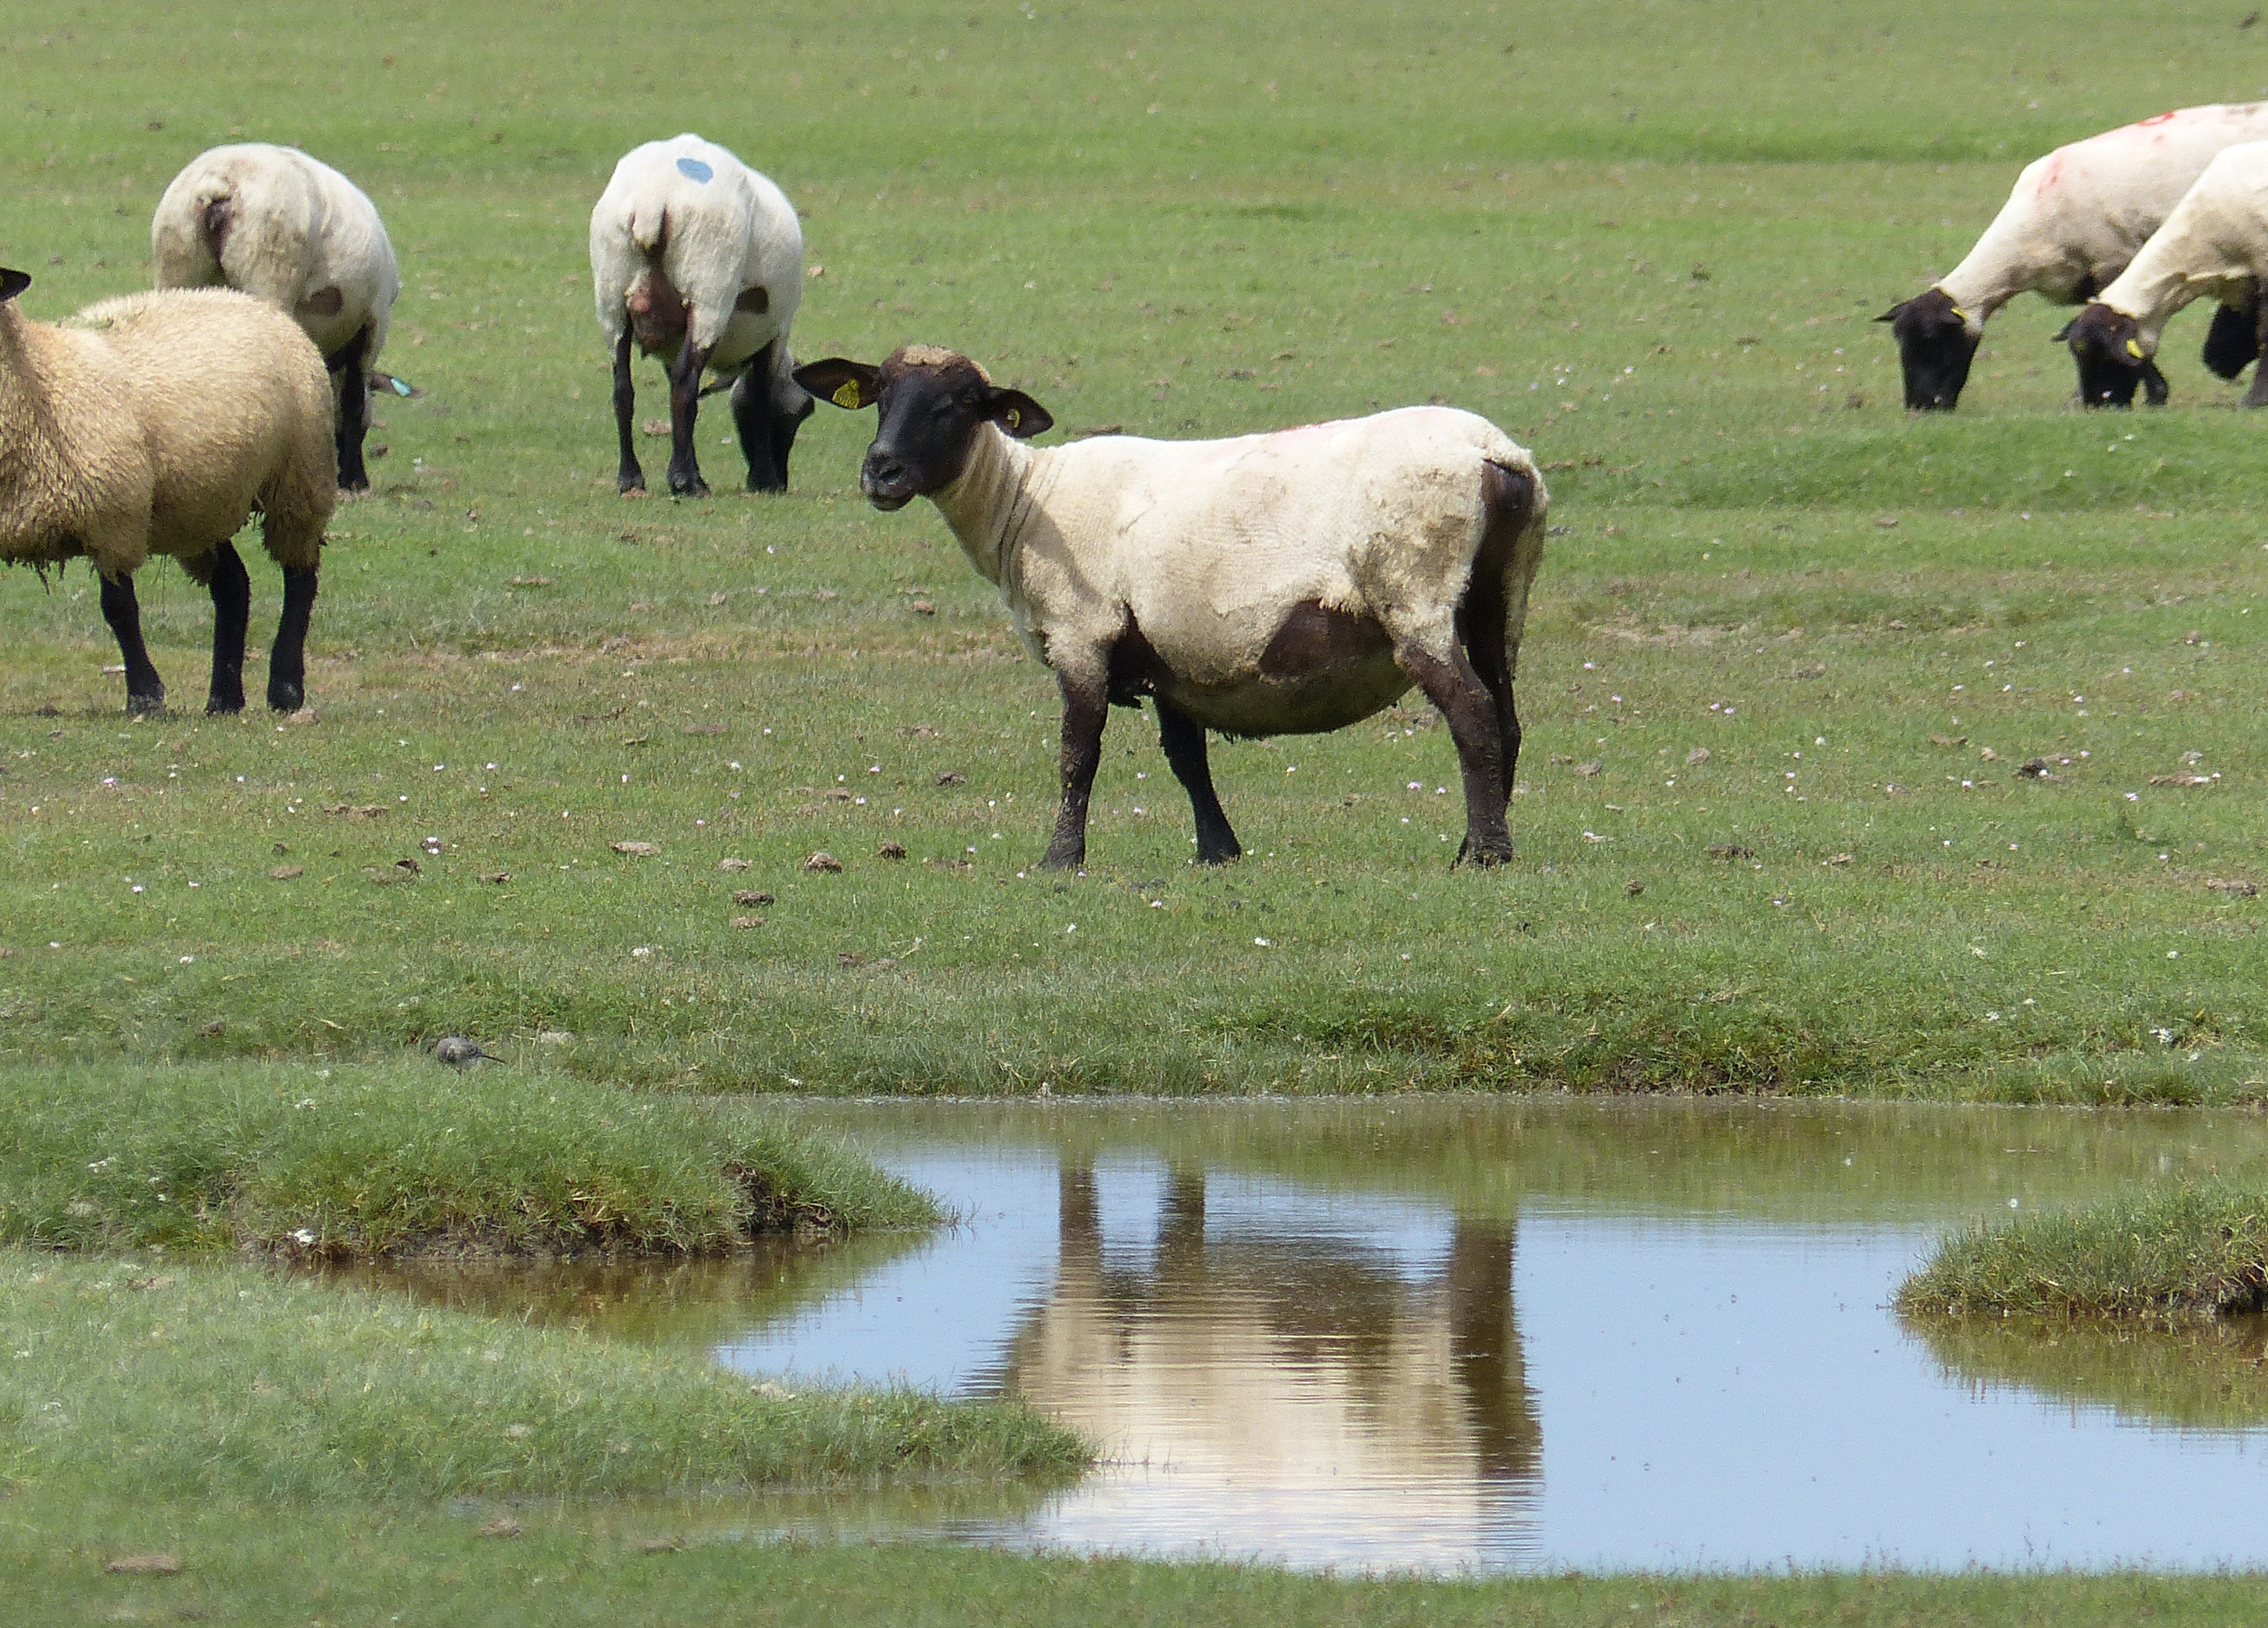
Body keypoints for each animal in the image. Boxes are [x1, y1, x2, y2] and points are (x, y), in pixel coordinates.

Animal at [0, 270, 334, 715]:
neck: (37, 373)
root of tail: (252, 302)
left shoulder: (114, 519)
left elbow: (119, 609)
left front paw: (145, 696)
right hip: (199, 506)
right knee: (233, 585)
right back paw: (224, 699)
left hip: (300, 480)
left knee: (300, 578)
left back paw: (285, 690)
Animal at [151, 143, 401, 491]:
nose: (354, 479)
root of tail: (220, 182)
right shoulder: (373, 325)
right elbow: (354, 404)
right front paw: (354, 482)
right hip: (269, 271)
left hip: (178, 266)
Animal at [589, 134, 812, 497]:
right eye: (803, 411)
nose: (783, 480)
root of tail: (654, 200)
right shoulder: (777, 333)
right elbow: (762, 396)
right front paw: (764, 479)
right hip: (710, 287)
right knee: (684, 384)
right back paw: (686, 482)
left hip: (611, 293)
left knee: (625, 389)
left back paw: (631, 479)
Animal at [794, 346, 1548, 870]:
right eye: (880, 396)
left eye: (958, 403)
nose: (881, 471)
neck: (1025, 498)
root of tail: (1496, 454)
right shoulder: (1171, 657)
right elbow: (1187, 758)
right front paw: (1218, 851)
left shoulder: (1081, 635)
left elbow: (1078, 754)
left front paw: (1060, 859)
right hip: (1499, 596)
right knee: (1505, 717)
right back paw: (1480, 842)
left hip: (1415, 594)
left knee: (1471, 714)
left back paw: (1485, 854)